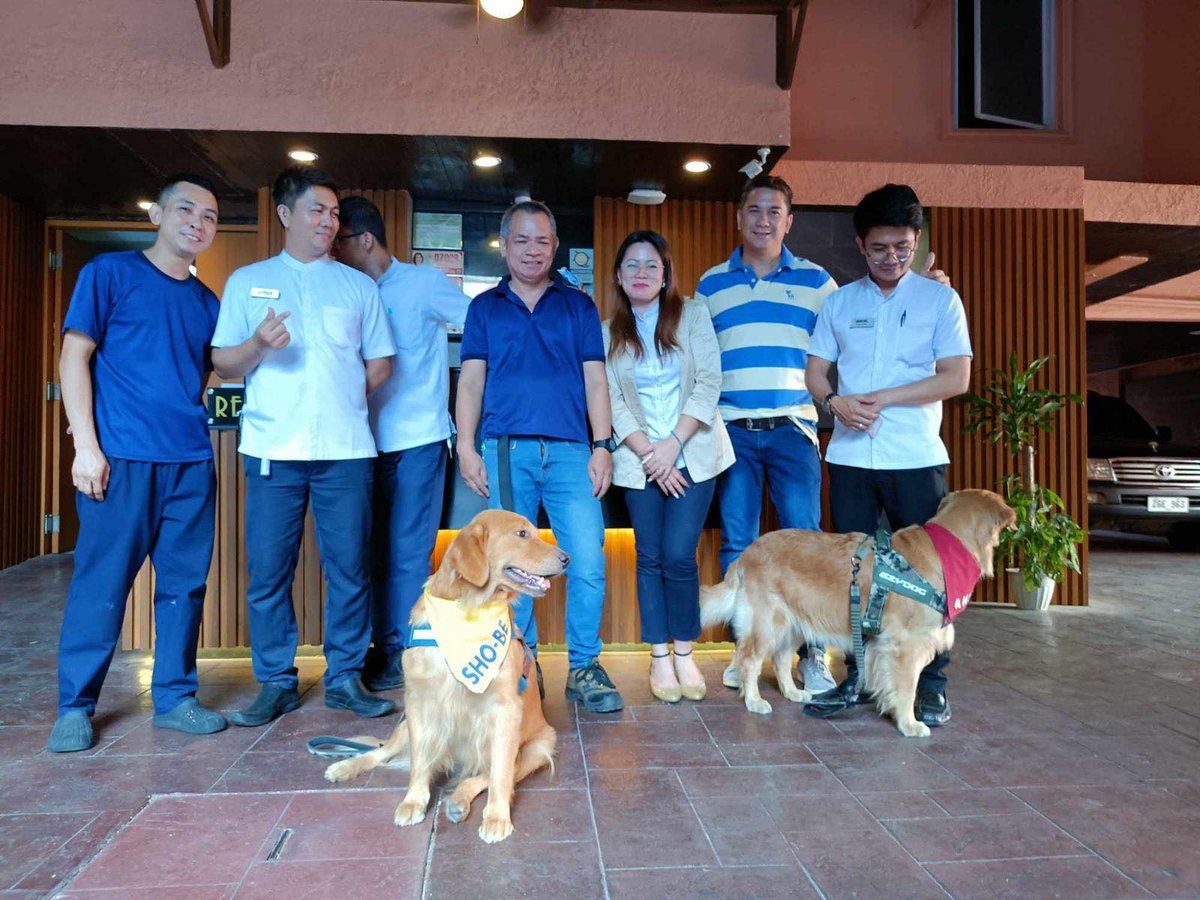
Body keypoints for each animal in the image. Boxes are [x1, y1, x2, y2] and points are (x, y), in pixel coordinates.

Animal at [324, 513, 566, 844]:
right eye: (521, 534)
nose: (567, 559)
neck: (469, 610)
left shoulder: (505, 711)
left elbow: (500, 775)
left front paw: (497, 817)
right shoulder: (419, 703)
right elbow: (419, 763)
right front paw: (413, 801)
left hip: (537, 749)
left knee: (485, 776)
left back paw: (458, 801)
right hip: (404, 728)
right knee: (380, 752)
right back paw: (345, 766)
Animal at [700, 494, 1017, 739]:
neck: (946, 551)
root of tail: (746, 553)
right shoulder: (905, 645)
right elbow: (906, 687)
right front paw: (909, 724)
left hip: (795, 623)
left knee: (779, 660)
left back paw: (793, 693)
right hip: (769, 623)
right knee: (750, 661)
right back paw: (754, 700)